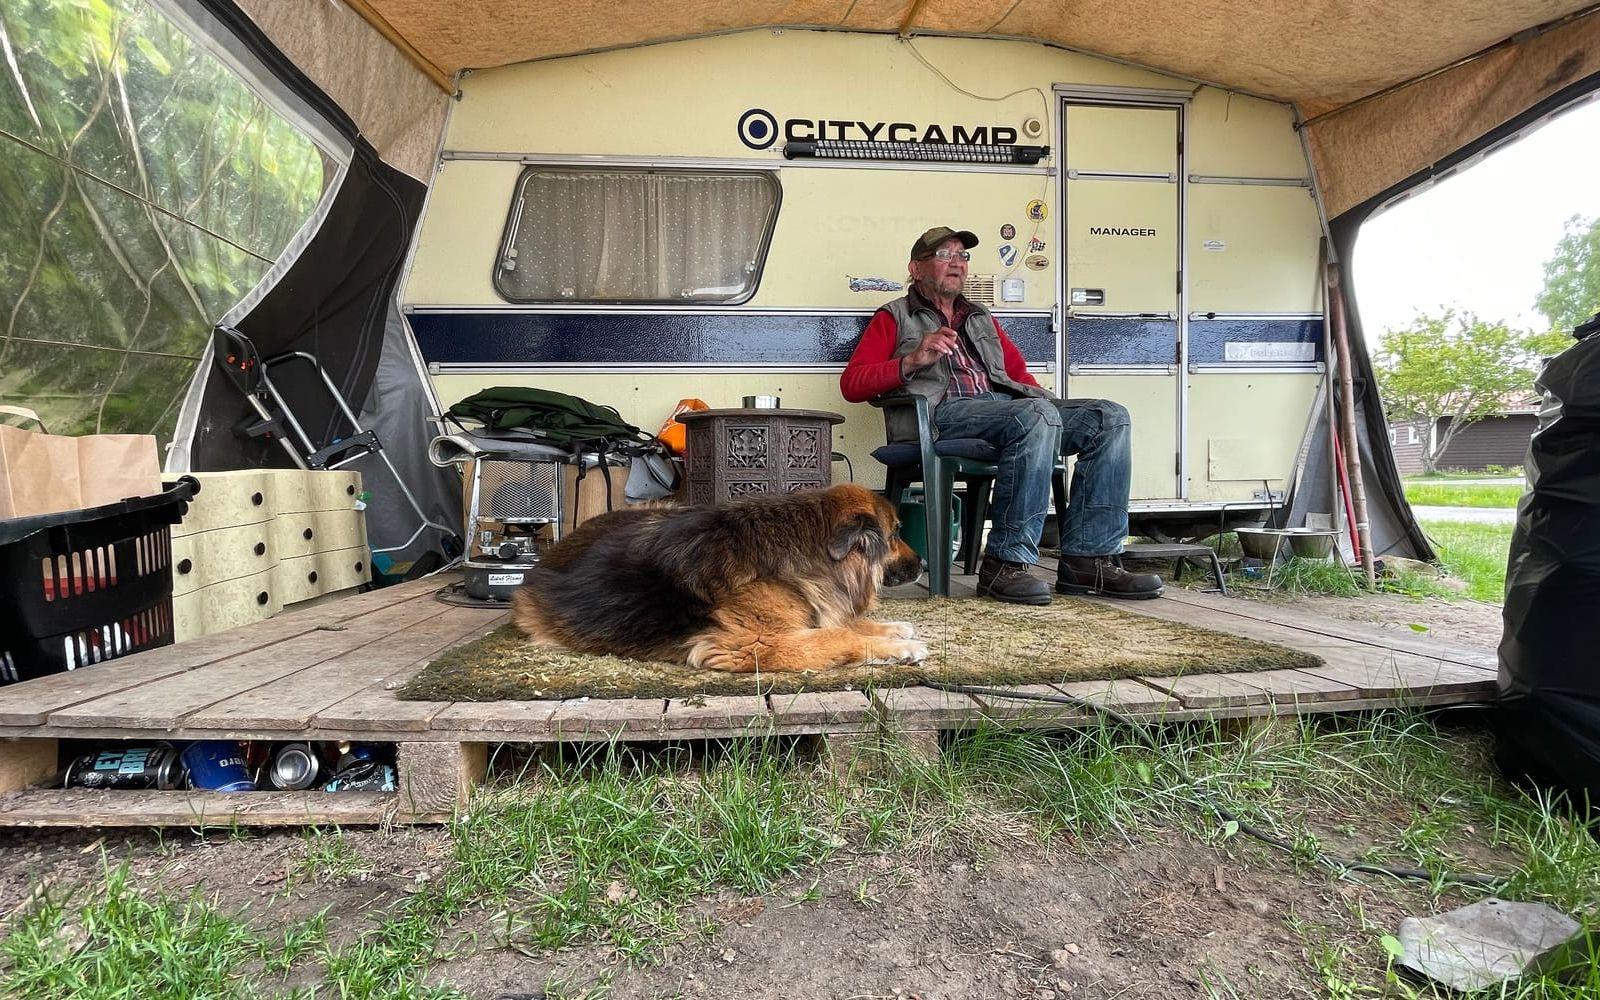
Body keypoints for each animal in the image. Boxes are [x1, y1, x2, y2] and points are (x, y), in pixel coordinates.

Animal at [515, 483, 928, 672]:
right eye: (895, 534)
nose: (924, 563)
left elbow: (844, 624)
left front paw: (892, 629)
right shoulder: (753, 644)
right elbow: (840, 635)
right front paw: (899, 648)